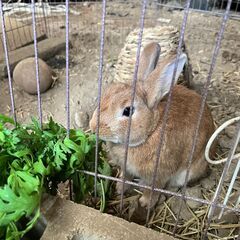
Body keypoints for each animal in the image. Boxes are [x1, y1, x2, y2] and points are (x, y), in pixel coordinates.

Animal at [88, 41, 216, 208]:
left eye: (128, 110)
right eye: (109, 91)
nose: (93, 126)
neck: (151, 129)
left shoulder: (159, 174)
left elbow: (153, 189)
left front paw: (145, 203)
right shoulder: (126, 168)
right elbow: (125, 177)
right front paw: (120, 188)